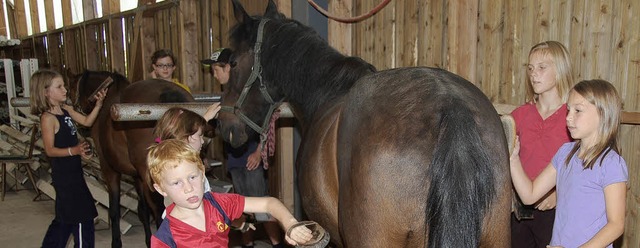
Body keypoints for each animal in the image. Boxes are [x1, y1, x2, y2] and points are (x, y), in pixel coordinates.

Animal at [69, 70, 192, 247]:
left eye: (71, 90)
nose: (80, 127)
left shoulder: (109, 169)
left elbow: (114, 209)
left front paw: (116, 242)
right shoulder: (137, 176)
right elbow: (143, 210)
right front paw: (147, 239)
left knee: (159, 210)